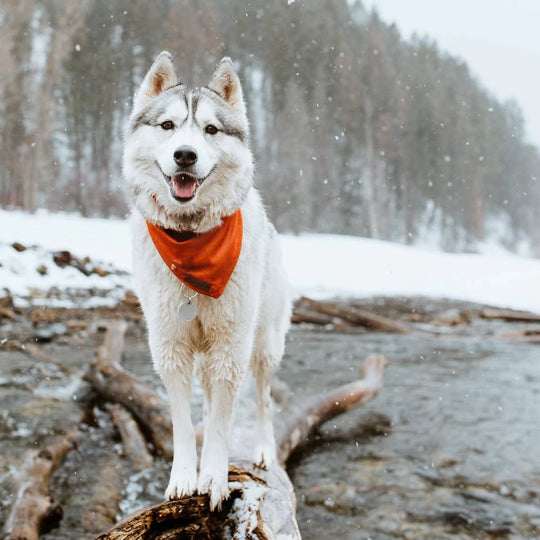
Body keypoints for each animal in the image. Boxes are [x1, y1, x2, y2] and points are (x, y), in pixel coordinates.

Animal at [122, 51, 292, 510]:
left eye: (211, 130)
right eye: (167, 126)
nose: (185, 155)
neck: (190, 241)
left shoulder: (232, 346)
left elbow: (221, 422)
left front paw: (213, 478)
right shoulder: (171, 347)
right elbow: (184, 423)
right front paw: (185, 478)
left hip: (262, 344)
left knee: (263, 399)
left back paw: (264, 451)